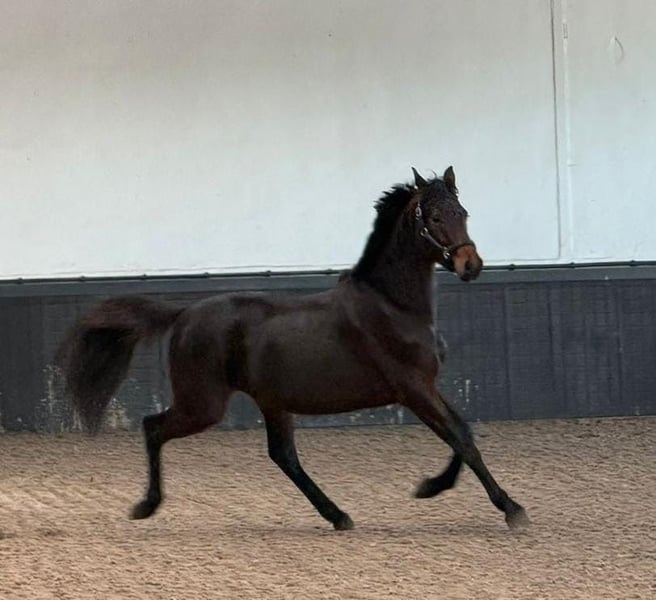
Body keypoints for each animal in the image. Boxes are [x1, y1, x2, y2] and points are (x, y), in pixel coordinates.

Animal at [57, 166, 529, 531]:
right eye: (432, 215)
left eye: (462, 212)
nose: (471, 265)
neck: (392, 305)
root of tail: (185, 313)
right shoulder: (413, 388)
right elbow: (460, 438)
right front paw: (510, 508)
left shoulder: (427, 386)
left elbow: (463, 433)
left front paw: (431, 487)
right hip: (203, 404)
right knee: (153, 427)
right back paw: (146, 505)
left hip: (271, 402)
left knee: (283, 457)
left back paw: (337, 515)